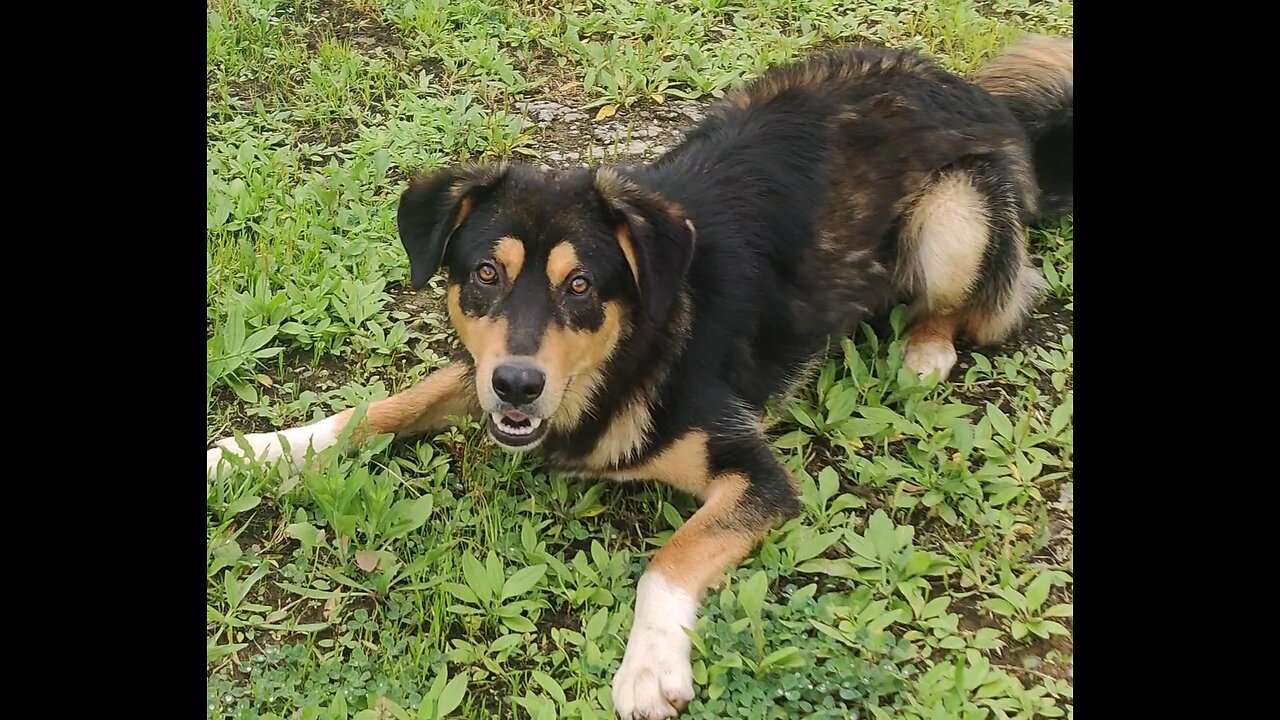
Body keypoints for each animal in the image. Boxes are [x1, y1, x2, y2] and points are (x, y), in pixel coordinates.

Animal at [207, 35, 1070, 717]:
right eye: (485, 274)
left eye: (581, 286)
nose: (518, 387)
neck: (626, 355)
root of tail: (979, 93)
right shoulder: (480, 370)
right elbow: (383, 406)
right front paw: (257, 451)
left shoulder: (756, 473)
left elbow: (670, 559)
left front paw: (650, 667)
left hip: (954, 216)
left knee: (979, 301)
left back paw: (925, 350)